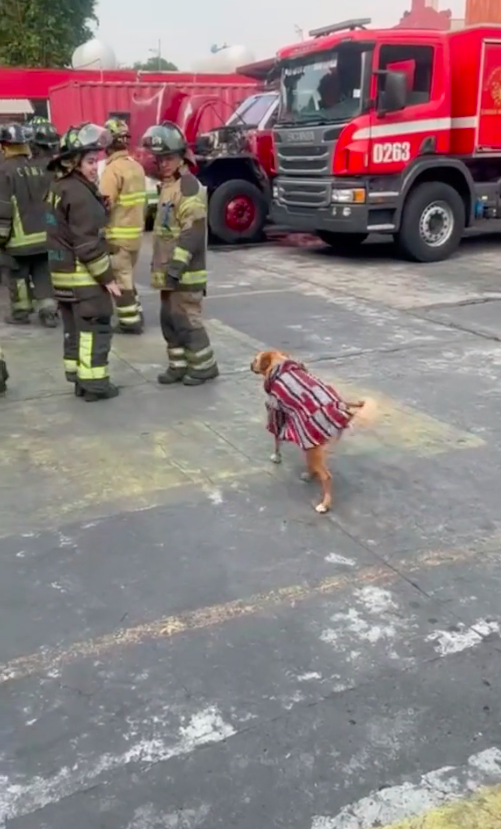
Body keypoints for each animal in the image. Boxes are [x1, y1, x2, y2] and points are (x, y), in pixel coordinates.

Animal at [250, 348, 376, 512]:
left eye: (256, 359)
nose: (250, 365)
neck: (280, 364)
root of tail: (340, 405)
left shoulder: (275, 412)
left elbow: (277, 439)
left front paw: (277, 456)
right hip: (314, 445)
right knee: (313, 463)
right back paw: (310, 475)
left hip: (313, 447)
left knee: (326, 476)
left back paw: (324, 504)